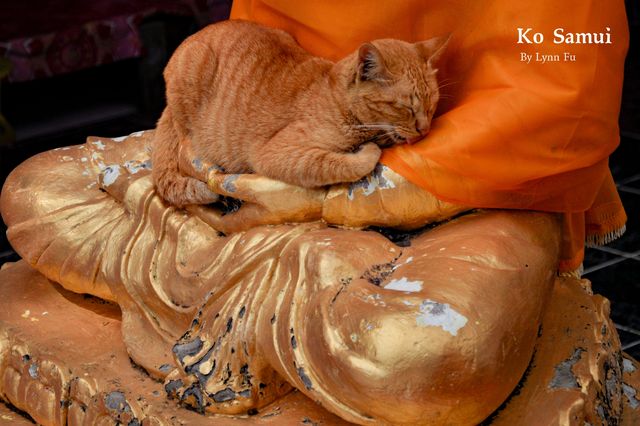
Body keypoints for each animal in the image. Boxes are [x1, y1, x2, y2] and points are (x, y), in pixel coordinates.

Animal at [152, 20, 448, 207]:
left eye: (432, 105)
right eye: (405, 107)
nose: (425, 129)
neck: (337, 100)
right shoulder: (277, 153)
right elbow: (344, 163)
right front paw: (368, 150)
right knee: (186, 147)